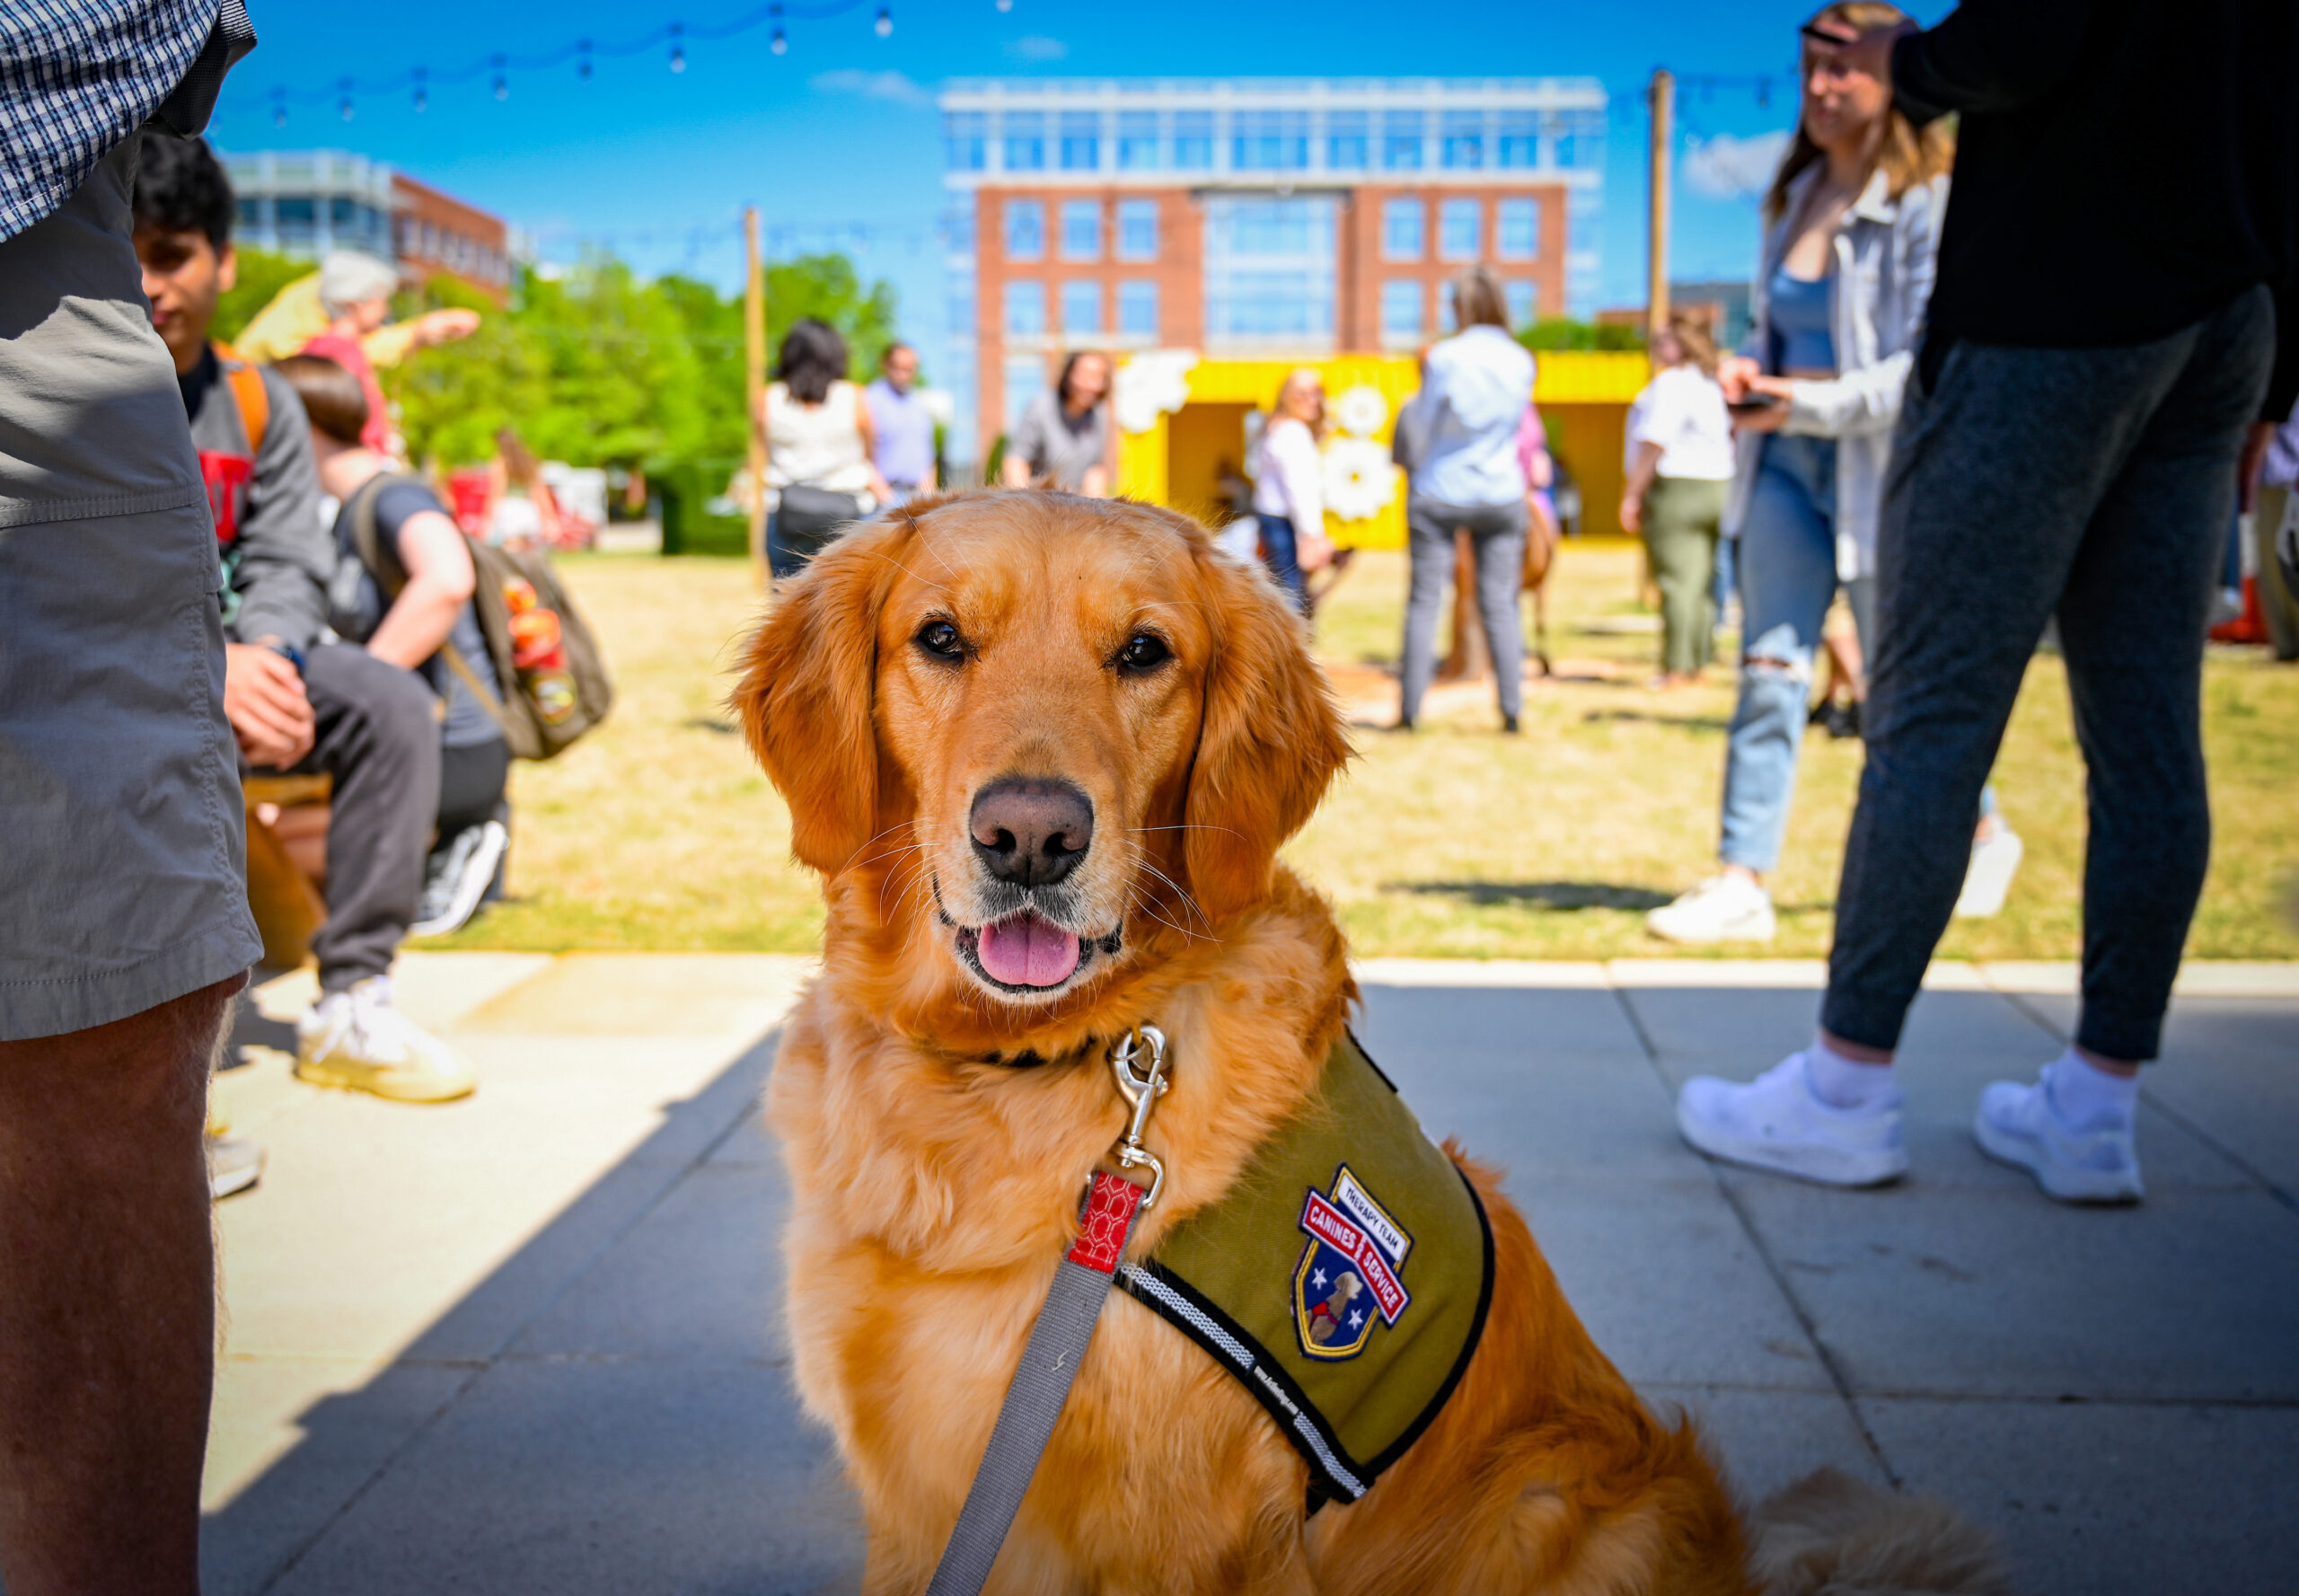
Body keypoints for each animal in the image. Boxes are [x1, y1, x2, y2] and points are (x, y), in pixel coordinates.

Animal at [736, 494, 1995, 1591]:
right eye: (940, 638)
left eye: (1143, 653)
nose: (1031, 837)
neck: (1013, 1067)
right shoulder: (919, 1505)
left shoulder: (1193, 1541)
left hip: (1556, 1496)